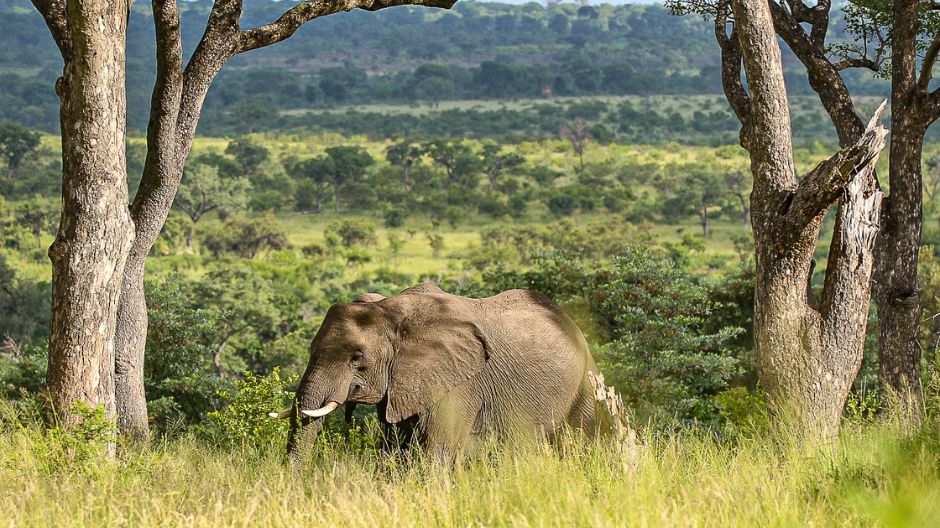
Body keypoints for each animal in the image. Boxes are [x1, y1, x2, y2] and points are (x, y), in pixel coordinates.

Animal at [275, 283, 601, 460]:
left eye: (357, 358)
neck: (390, 309)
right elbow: (394, 448)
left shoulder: (459, 381)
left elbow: (436, 451)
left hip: (585, 379)